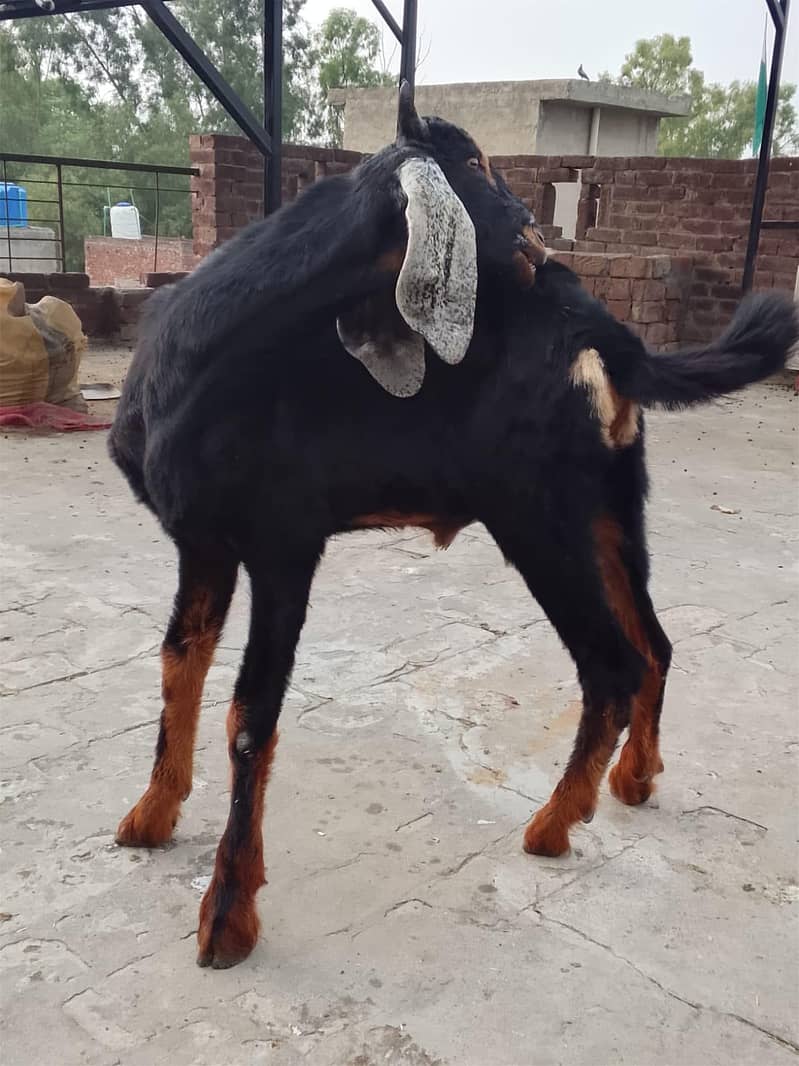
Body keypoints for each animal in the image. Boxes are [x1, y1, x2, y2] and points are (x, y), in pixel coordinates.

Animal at [109, 85, 797, 968]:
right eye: (473, 163)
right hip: (608, 506)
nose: (538, 234)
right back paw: (634, 780)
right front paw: (150, 815)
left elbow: (249, 715)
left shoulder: (284, 543)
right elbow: (178, 664)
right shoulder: (201, 541)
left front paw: (227, 915)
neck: (204, 357)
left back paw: (550, 827)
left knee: (609, 664)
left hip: (539, 516)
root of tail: (605, 336)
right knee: (653, 644)